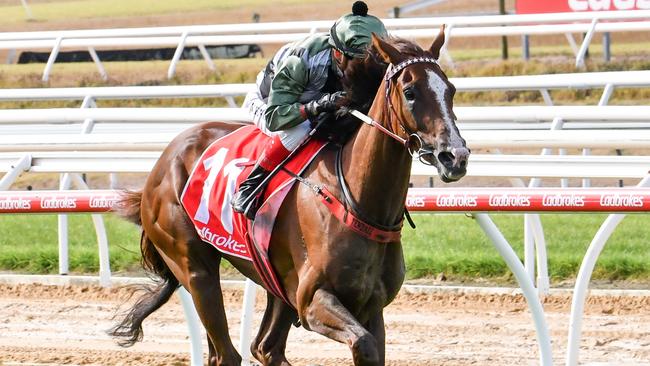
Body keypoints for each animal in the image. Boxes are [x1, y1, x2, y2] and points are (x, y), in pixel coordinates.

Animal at [110, 30, 466, 366]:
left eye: (450, 90)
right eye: (410, 92)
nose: (455, 157)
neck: (359, 201)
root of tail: (161, 163)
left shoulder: (371, 306)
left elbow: (372, 348)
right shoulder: (312, 300)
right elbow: (363, 343)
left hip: (276, 282)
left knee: (264, 348)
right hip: (195, 268)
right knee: (228, 352)